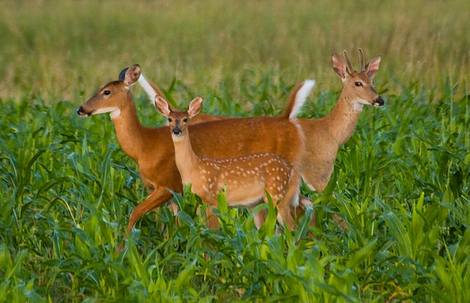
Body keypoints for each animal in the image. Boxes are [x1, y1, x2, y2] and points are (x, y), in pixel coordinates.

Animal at [156, 96, 300, 229]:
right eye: (169, 119)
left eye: (185, 119)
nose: (176, 130)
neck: (193, 168)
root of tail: (292, 170)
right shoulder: (197, 200)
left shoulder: (213, 198)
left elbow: (213, 230)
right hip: (260, 202)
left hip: (277, 194)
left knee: (292, 228)